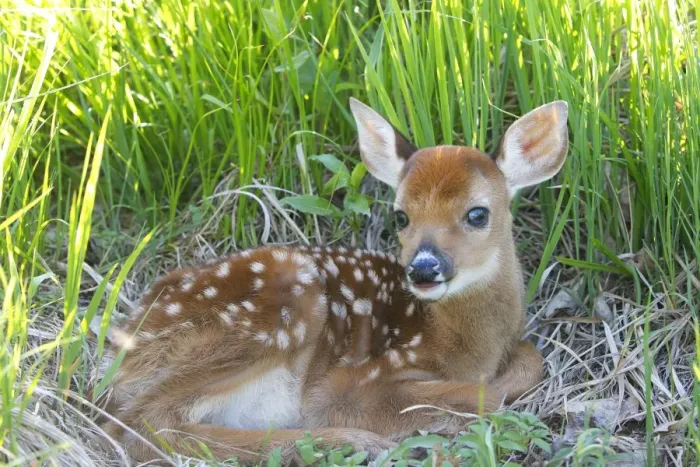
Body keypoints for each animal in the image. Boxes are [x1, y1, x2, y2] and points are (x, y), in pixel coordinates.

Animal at [100, 97, 569, 465]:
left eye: (477, 213)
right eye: (401, 216)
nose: (423, 268)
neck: (462, 345)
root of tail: (122, 342)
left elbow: (532, 357)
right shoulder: (351, 382)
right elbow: (483, 396)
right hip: (279, 308)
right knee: (144, 423)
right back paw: (348, 443)